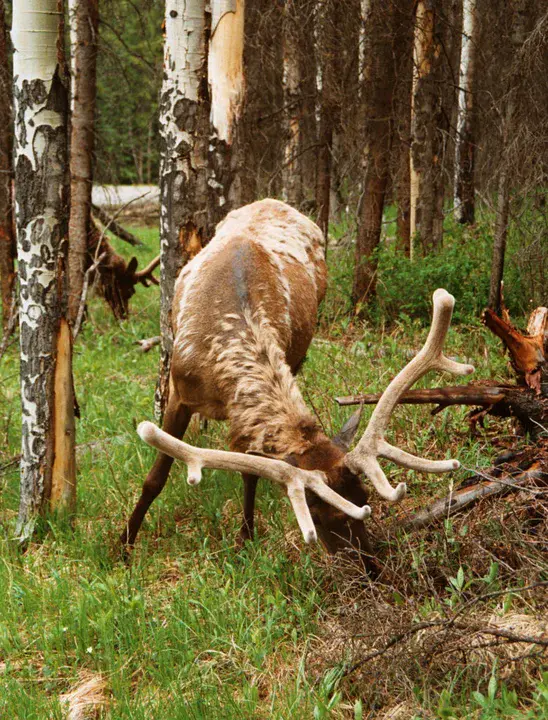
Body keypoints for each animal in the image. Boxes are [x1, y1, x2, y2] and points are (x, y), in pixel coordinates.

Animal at [121, 200, 476, 560]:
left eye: (363, 497)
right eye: (316, 513)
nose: (368, 563)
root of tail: (273, 201)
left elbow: (250, 472)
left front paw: (246, 535)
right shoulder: (179, 391)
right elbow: (155, 478)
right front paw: (124, 542)